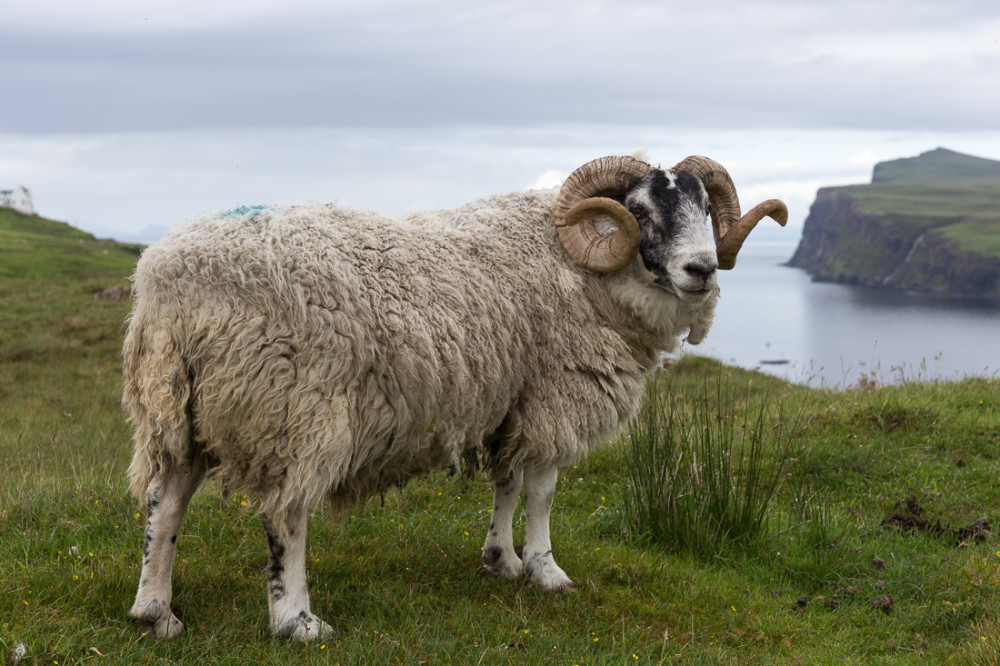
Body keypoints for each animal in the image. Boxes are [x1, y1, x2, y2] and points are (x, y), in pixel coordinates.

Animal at [123, 154, 787, 641]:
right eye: (641, 210)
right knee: (284, 515)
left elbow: (508, 481)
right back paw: (297, 620)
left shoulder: (512, 397)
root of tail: (170, 280)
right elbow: (542, 490)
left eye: (706, 206)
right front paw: (547, 570)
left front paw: (502, 560)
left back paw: (156, 612)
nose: (702, 270)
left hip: (180, 407)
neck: (579, 260)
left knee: (165, 502)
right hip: (295, 407)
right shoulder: (554, 393)